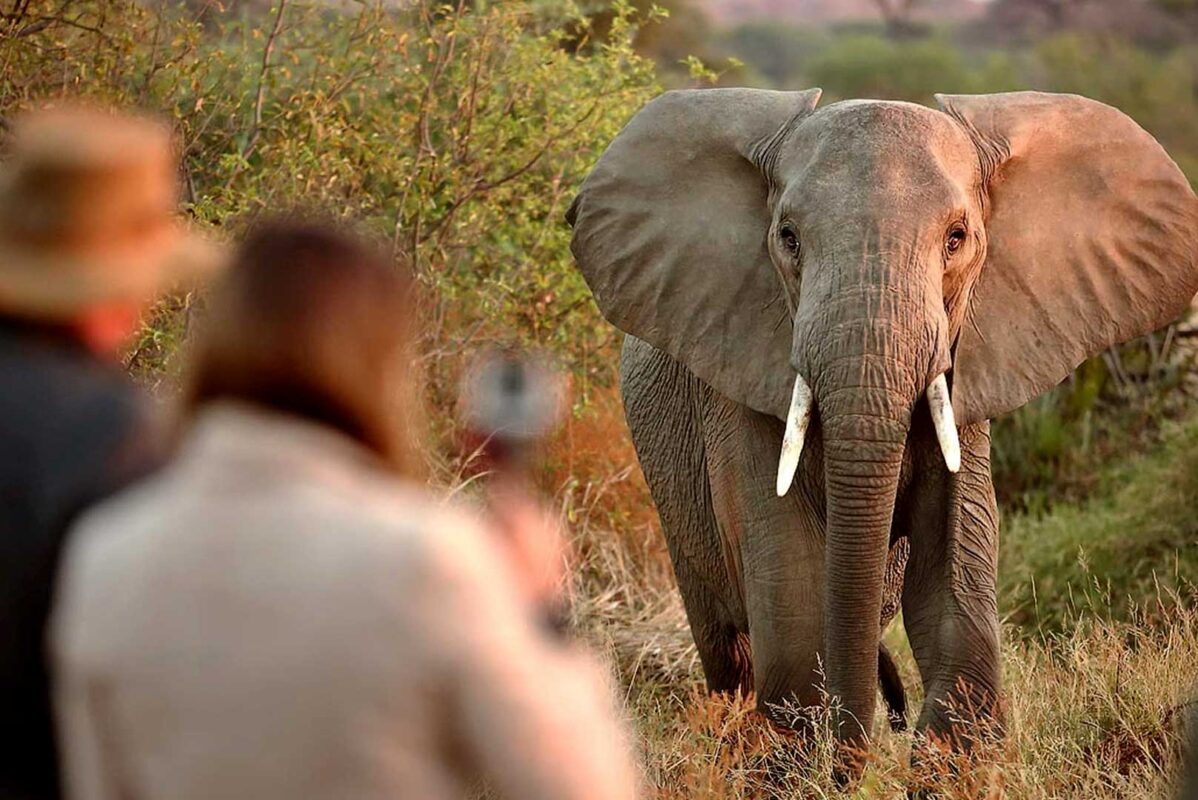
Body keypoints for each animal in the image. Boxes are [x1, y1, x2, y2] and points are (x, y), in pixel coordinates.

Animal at [563, 89, 1198, 761]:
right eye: (788, 238)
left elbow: (953, 584)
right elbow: (794, 597)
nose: (863, 747)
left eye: (957, 238)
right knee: (729, 648)